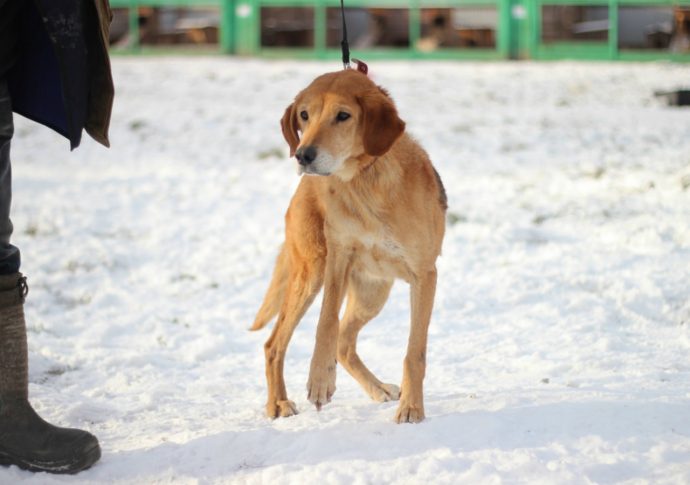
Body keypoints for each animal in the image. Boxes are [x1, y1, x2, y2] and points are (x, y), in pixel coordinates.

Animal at [253, 68, 446, 424]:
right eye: (304, 115)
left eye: (343, 116)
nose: (303, 155)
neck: (364, 181)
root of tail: (303, 187)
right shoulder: (338, 260)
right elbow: (326, 322)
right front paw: (320, 379)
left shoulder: (425, 275)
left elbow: (414, 352)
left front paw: (412, 407)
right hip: (312, 273)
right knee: (275, 344)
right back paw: (278, 403)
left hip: (373, 293)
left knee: (344, 342)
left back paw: (379, 389)